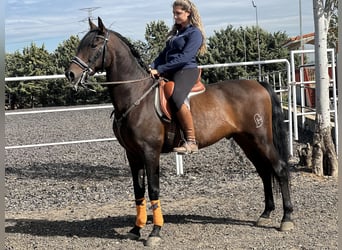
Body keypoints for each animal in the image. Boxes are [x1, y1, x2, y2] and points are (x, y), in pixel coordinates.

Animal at [65, 17, 294, 246]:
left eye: (94, 44)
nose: (70, 74)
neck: (137, 96)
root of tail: (258, 84)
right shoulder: (133, 154)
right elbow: (138, 190)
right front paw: (136, 229)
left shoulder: (150, 152)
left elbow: (153, 189)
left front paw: (155, 232)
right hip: (246, 141)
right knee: (264, 172)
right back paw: (265, 214)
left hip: (261, 139)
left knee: (280, 169)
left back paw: (286, 218)